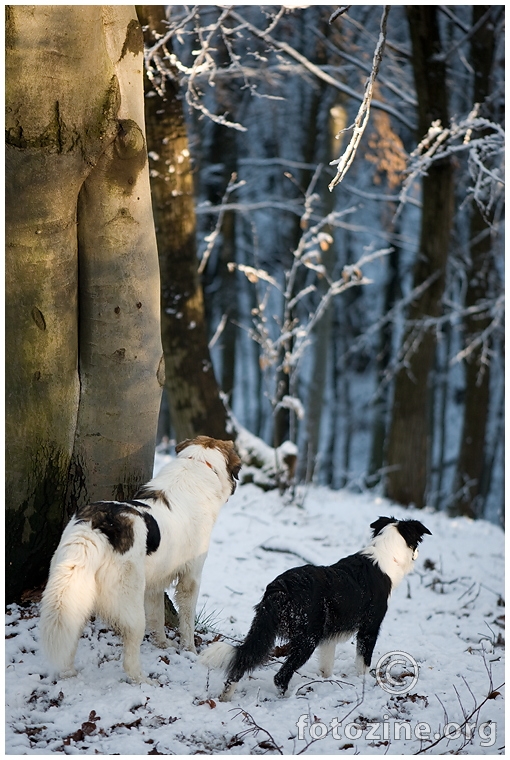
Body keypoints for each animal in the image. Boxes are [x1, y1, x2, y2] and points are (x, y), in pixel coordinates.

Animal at [39, 436, 241, 684]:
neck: (197, 463)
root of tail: (95, 526)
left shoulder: (155, 583)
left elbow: (158, 617)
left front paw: (162, 644)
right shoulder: (191, 578)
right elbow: (187, 621)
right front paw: (190, 651)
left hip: (72, 591)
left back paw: (68, 673)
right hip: (130, 605)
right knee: (131, 652)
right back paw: (143, 679)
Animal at [199, 516, 430, 700]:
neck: (385, 553)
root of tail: (282, 586)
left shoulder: (329, 636)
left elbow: (326, 666)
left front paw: (328, 682)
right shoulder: (369, 628)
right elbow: (363, 662)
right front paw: (363, 683)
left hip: (265, 627)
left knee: (242, 661)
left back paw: (226, 697)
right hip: (307, 639)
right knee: (280, 676)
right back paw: (288, 698)